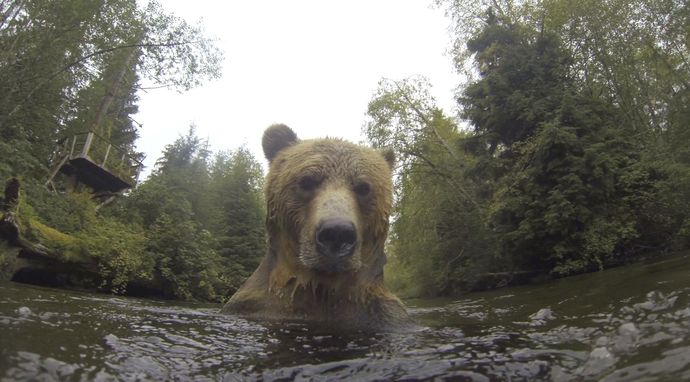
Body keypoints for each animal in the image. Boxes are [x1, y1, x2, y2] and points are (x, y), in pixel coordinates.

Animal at [223, 124, 412, 330]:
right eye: (307, 180)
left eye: (364, 187)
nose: (337, 233)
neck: (322, 287)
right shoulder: (251, 306)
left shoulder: (383, 314)